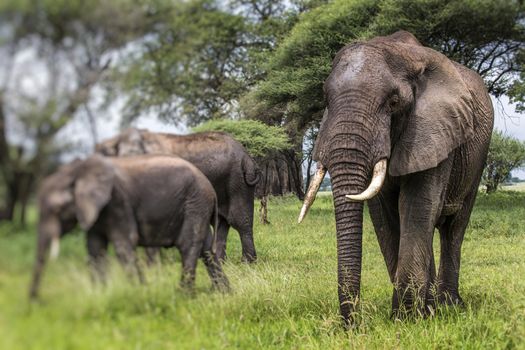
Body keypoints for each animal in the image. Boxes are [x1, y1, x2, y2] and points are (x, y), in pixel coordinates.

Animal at [28, 154, 229, 298]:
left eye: (56, 209)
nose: (36, 303)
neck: (77, 170)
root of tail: (211, 189)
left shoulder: (118, 202)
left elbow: (123, 245)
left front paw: (141, 293)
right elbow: (95, 249)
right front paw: (101, 295)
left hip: (195, 203)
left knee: (188, 245)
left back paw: (183, 296)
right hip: (199, 206)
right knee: (206, 249)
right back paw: (224, 294)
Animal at [96, 129, 260, 262]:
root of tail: (247, 156)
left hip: (237, 182)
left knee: (239, 220)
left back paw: (247, 262)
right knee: (221, 222)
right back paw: (221, 261)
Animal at [296, 31, 494, 324]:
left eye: (393, 103)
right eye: (326, 102)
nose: (352, 326)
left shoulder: (434, 129)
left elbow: (416, 206)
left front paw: (408, 319)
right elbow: (385, 216)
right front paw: (410, 315)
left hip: (476, 158)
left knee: (453, 228)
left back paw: (449, 305)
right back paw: (433, 304)